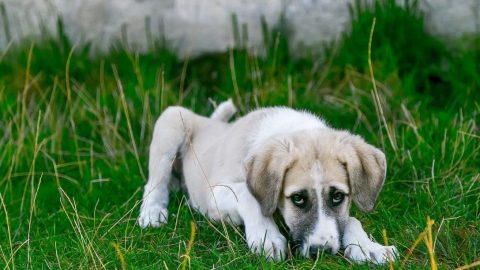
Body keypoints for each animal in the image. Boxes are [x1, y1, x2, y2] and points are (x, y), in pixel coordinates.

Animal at [139, 100, 398, 262]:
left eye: (337, 196)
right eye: (298, 199)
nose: (321, 252)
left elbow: (351, 219)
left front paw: (368, 247)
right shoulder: (215, 192)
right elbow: (248, 195)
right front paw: (266, 237)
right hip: (173, 120)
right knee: (155, 182)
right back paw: (152, 212)